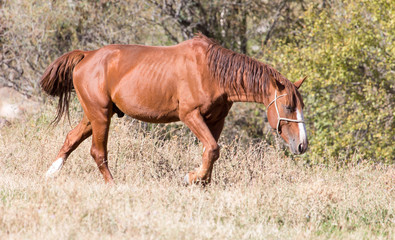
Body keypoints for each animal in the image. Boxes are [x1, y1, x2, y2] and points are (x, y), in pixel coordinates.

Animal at [41, 34, 310, 184]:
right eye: (288, 106)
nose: (302, 145)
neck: (212, 72)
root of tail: (86, 55)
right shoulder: (190, 115)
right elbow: (212, 149)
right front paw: (192, 178)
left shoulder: (216, 120)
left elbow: (210, 152)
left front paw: (202, 182)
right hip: (99, 116)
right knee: (98, 152)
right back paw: (112, 185)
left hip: (95, 116)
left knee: (71, 138)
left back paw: (50, 173)